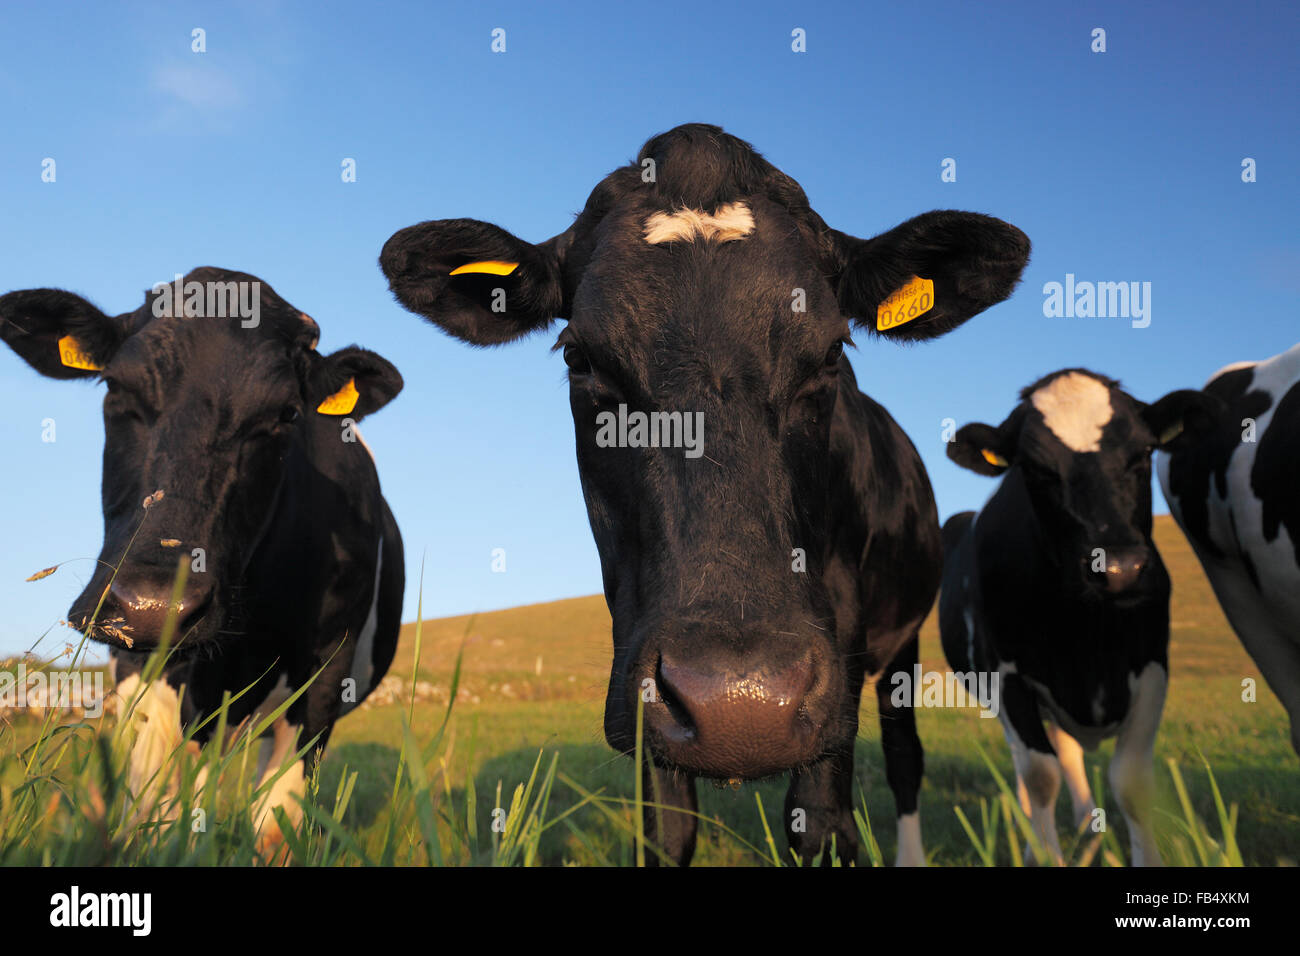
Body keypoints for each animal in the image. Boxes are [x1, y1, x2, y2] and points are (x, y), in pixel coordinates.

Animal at [0, 268, 405, 851]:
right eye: (114, 386)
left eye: (287, 414)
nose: (152, 607)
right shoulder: (140, 671)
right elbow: (151, 812)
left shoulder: (326, 673)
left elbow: (274, 827)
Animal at [380, 123, 1031, 865]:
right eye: (580, 358)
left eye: (833, 354)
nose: (736, 705)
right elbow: (667, 829)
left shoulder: (842, 649)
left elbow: (820, 822)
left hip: (902, 645)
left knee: (904, 757)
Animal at [939, 368, 1220, 865]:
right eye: (1036, 470)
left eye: (1143, 453)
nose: (1119, 568)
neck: (1087, 635)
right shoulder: (1009, 678)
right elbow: (1040, 775)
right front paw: (1044, 853)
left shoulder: (1152, 665)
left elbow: (1131, 781)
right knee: (1031, 763)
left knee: (1069, 750)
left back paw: (1089, 824)